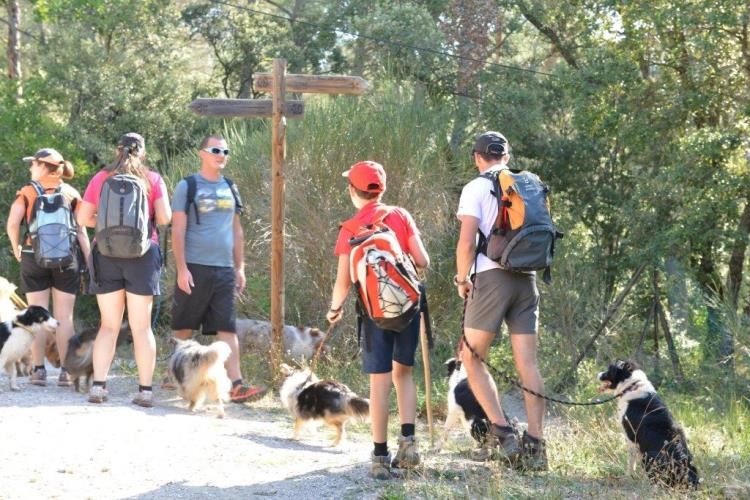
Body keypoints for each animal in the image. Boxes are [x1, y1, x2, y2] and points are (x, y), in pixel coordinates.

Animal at [600, 360, 700, 488]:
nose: (598, 374)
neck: (632, 386)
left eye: (609, 370)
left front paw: (628, 478)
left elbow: (631, 463)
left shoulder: (631, 437)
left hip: (649, 456)